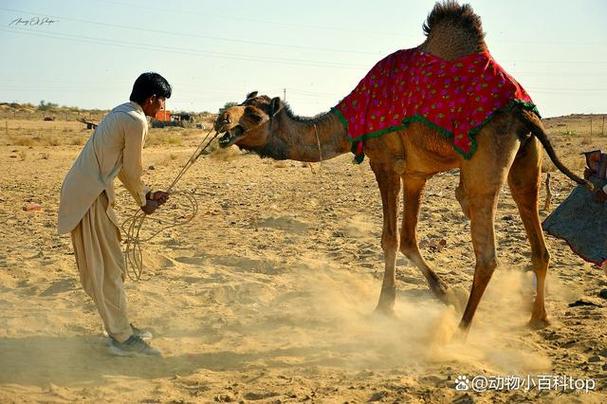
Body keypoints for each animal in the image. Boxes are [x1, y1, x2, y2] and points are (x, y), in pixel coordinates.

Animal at [214, 1, 592, 332]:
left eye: (253, 115)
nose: (221, 122)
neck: (349, 121)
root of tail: (524, 113)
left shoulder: (384, 161)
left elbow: (390, 239)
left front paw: (385, 306)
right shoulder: (414, 174)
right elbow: (409, 239)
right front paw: (445, 294)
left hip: (486, 155)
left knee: (485, 246)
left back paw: (461, 331)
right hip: (527, 156)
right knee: (535, 232)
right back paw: (538, 317)